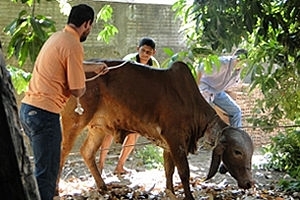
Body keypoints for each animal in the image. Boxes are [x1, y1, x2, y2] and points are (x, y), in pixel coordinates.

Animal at [56, 59, 253, 200]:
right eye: (237, 152)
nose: (249, 183)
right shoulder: (175, 139)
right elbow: (184, 171)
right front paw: (188, 196)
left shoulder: (168, 145)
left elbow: (169, 170)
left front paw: (170, 191)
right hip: (74, 121)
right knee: (62, 153)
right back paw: (57, 190)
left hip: (98, 127)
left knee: (87, 152)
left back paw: (102, 186)